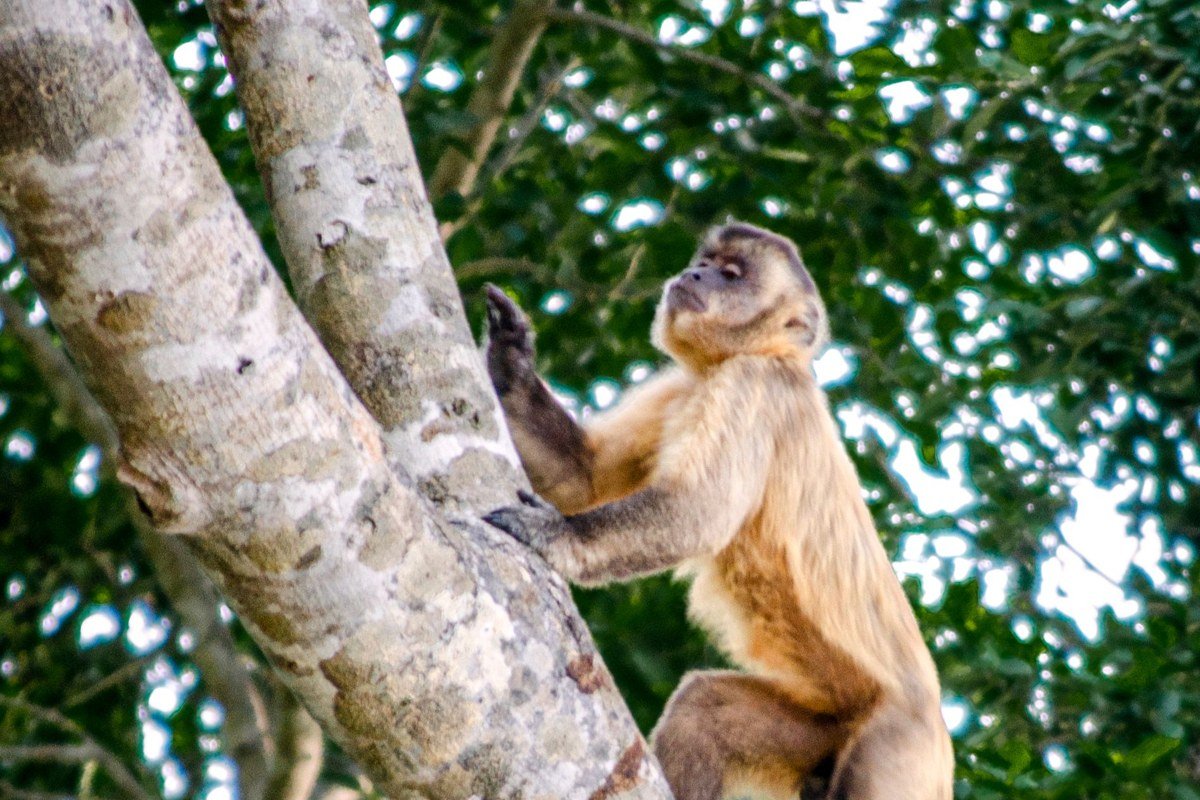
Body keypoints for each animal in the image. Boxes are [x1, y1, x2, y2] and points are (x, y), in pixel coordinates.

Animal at [482, 222, 953, 800]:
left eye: (731, 274)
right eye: (705, 264)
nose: (695, 275)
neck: (766, 358)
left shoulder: (754, 386)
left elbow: (696, 515)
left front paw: (556, 537)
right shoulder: (683, 387)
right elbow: (578, 475)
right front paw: (510, 358)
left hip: (899, 749)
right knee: (703, 708)